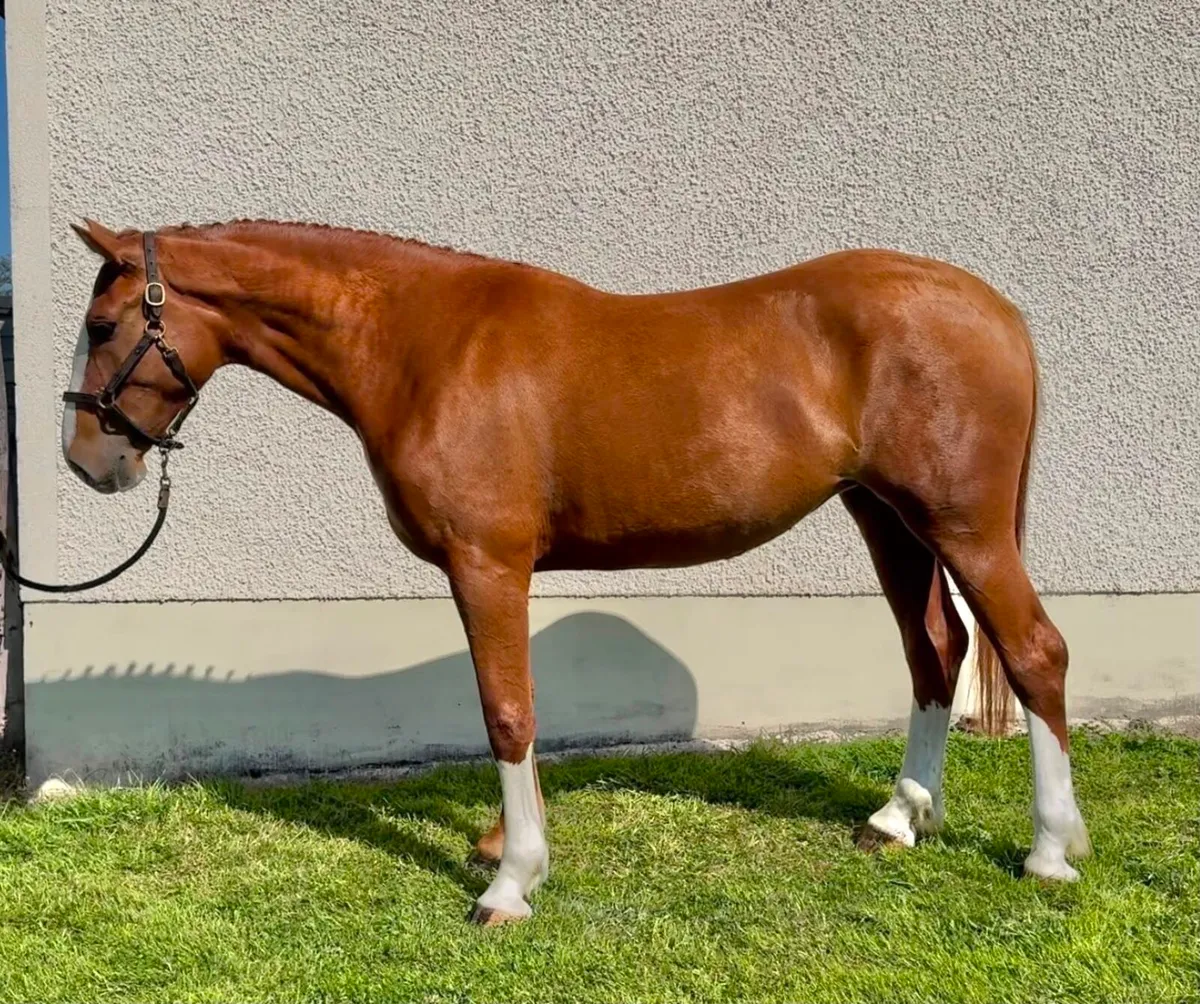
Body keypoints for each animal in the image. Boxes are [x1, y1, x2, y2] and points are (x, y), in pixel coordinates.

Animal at [62, 218, 1090, 924]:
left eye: (104, 324)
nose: (87, 462)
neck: (422, 345)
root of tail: (997, 311)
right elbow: (507, 704)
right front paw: (496, 845)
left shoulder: (486, 562)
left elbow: (506, 711)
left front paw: (511, 881)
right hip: (888, 519)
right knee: (935, 651)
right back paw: (899, 819)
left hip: (963, 527)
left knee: (1035, 652)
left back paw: (1050, 851)